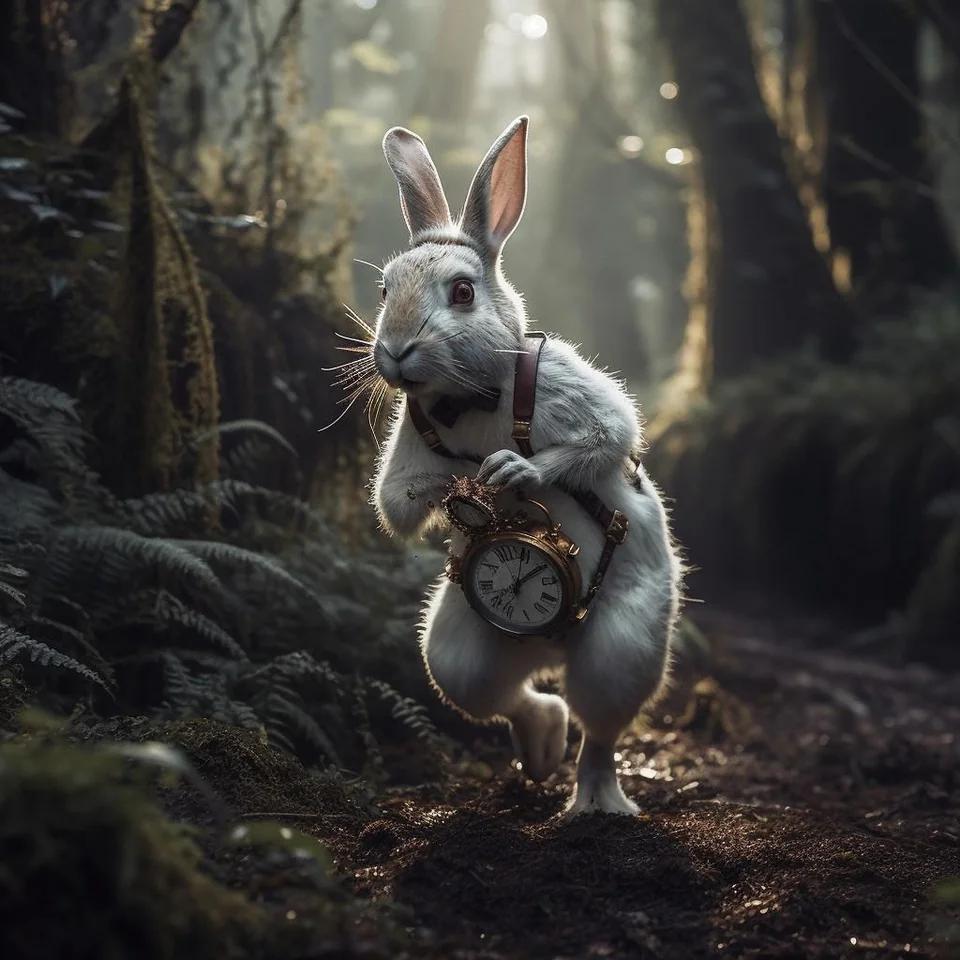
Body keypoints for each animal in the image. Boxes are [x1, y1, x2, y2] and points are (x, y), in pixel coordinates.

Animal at [368, 115, 681, 817]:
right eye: (383, 289)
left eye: (462, 292)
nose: (394, 351)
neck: (472, 394)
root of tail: (548, 641)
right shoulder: (407, 443)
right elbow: (397, 502)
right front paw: (452, 483)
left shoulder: (579, 397)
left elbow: (610, 435)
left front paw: (515, 473)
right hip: (460, 645)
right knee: (513, 699)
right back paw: (541, 750)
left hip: (622, 648)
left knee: (600, 732)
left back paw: (597, 806)